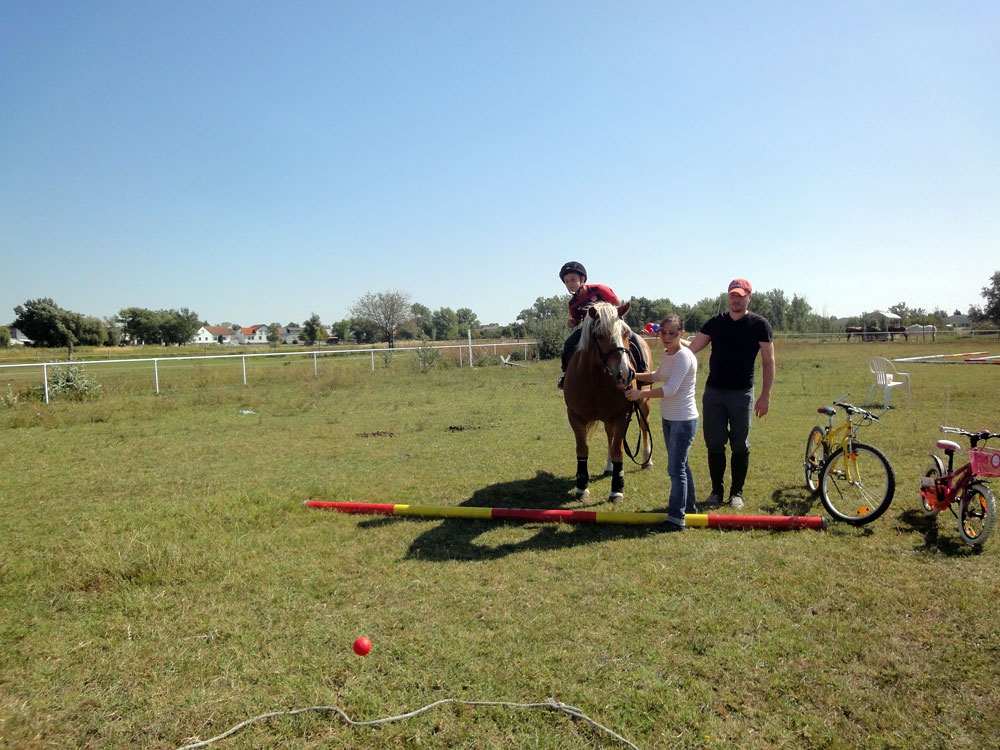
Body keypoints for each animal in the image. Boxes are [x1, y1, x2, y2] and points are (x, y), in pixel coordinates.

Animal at [560, 302, 652, 506]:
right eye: (600, 335)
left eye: (626, 333)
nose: (625, 374)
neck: (596, 378)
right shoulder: (575, 417)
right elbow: (582, 450)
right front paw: (582, 487)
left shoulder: (621, 416)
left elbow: (618, 450)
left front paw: (617, 489)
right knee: (610, 435)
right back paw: (610, 466)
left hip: (643, 402)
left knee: (644, 426)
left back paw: (646, 460)